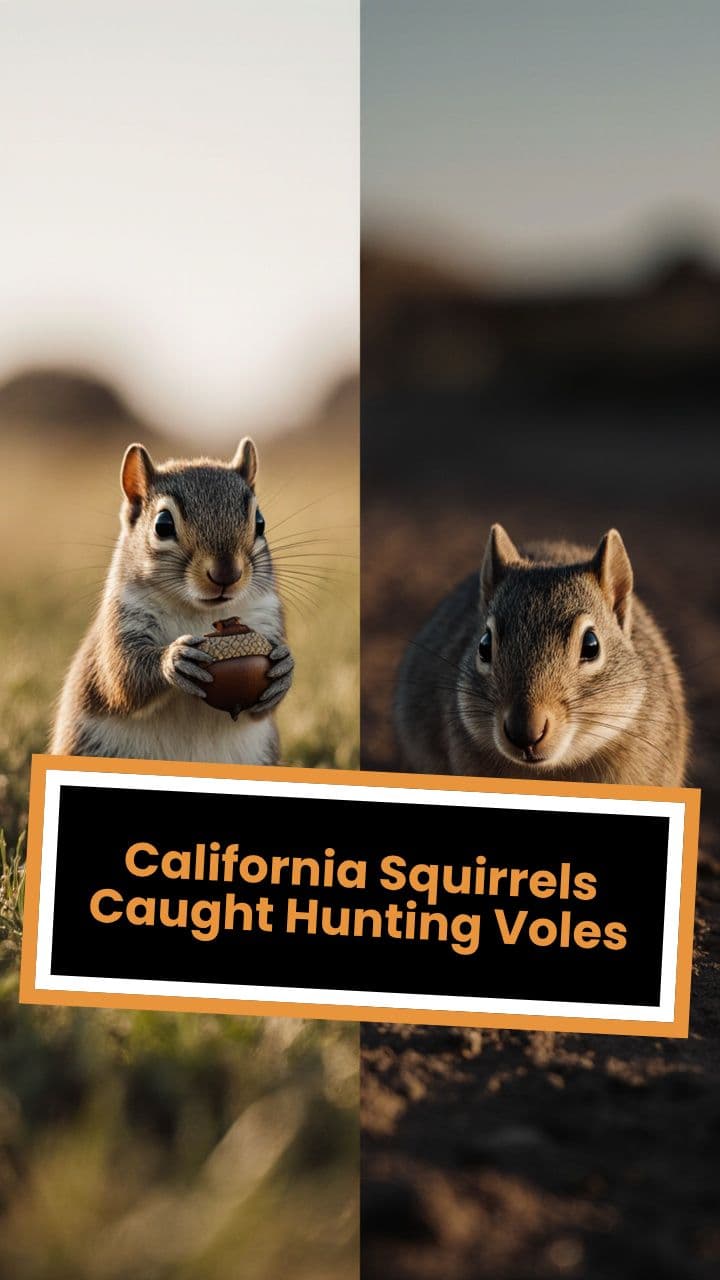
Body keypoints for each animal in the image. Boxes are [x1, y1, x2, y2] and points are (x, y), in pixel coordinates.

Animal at [50, 437, 293, 764]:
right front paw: (173, 660)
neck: (200, 612)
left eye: (260, 522)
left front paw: (284, 669)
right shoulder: (124, 620)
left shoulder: (265, 616)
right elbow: (122, 675)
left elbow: (262, 709)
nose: (227, 574)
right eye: (162, 525)